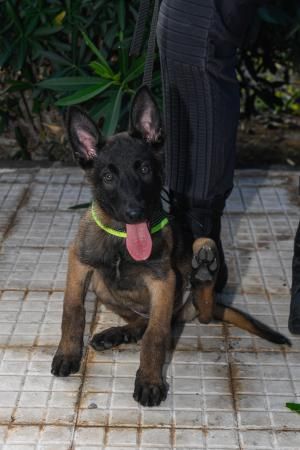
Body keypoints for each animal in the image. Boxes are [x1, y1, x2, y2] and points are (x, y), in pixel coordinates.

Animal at [51, 86, 290, 406]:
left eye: (144, 169)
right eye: (108, 177)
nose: (134, 212)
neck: (122, 239)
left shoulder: (163, 282)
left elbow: (157, 334)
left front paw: (150, 381)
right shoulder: (79, 263)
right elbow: (72, 310)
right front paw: (67, 353)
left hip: (187, 290)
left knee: (201, 309)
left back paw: (205, 265)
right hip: (102, 285)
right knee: (140, 320)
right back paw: (119, 333)